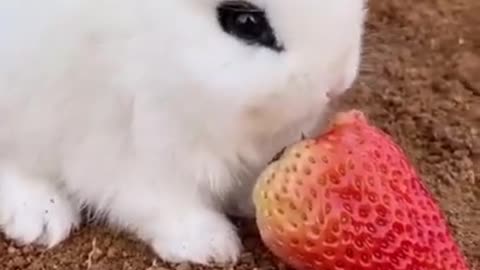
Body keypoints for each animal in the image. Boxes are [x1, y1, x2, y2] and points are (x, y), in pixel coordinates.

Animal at [0, 0, 366, 266]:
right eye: (246, 23)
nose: (338, 82)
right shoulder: (124, 144)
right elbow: (157, 199)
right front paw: (210, 245)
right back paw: (39, 218)